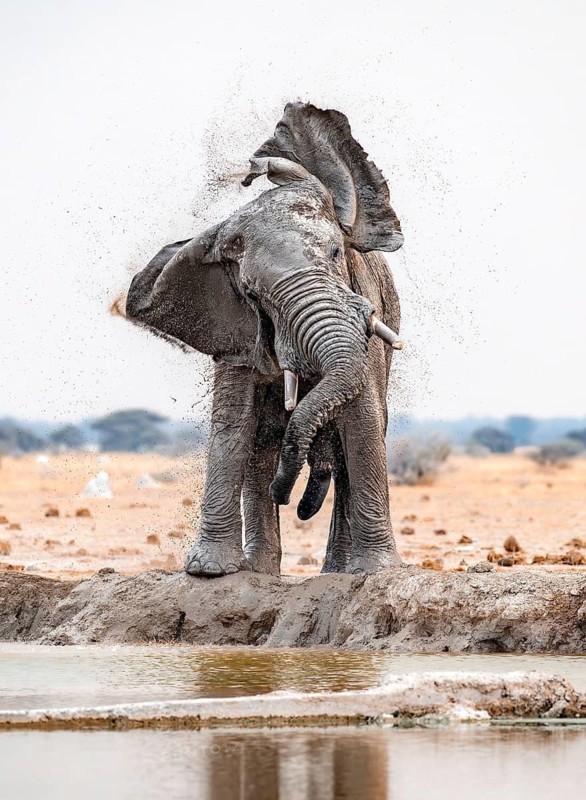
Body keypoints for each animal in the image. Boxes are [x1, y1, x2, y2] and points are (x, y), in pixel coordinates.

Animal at [125, 102, 404, 576]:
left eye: (335, 254)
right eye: (254, 294)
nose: (288, 497)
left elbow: (362, 418)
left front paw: (376, 572)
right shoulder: (233, 330)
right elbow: (234, 423)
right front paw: (208, 572)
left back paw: (336, 571)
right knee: (265, 441)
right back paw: (261, 569)